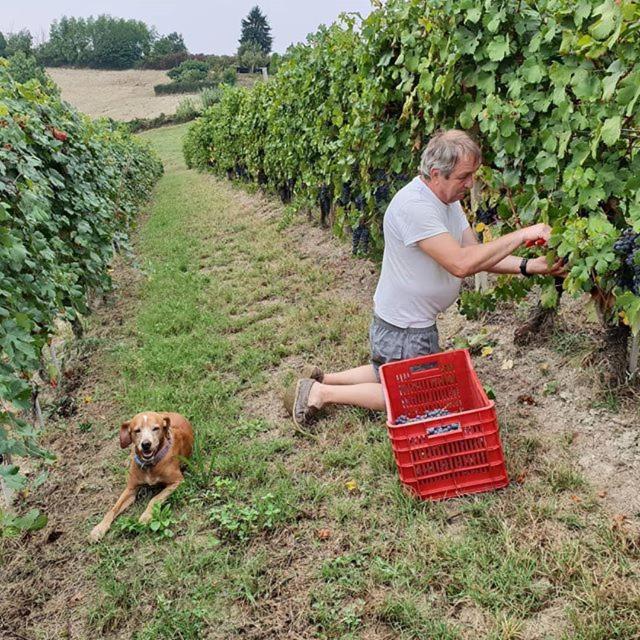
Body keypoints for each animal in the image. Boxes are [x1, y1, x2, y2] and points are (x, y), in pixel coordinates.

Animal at [88, 412, 192, 544]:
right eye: (137, 430)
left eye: (155, 428)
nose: (146, 444)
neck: (149, 465)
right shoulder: (130, 489)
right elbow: (113, 508)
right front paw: (99, 528)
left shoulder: (177, 481)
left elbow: (155, 499)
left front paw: (146, 516)